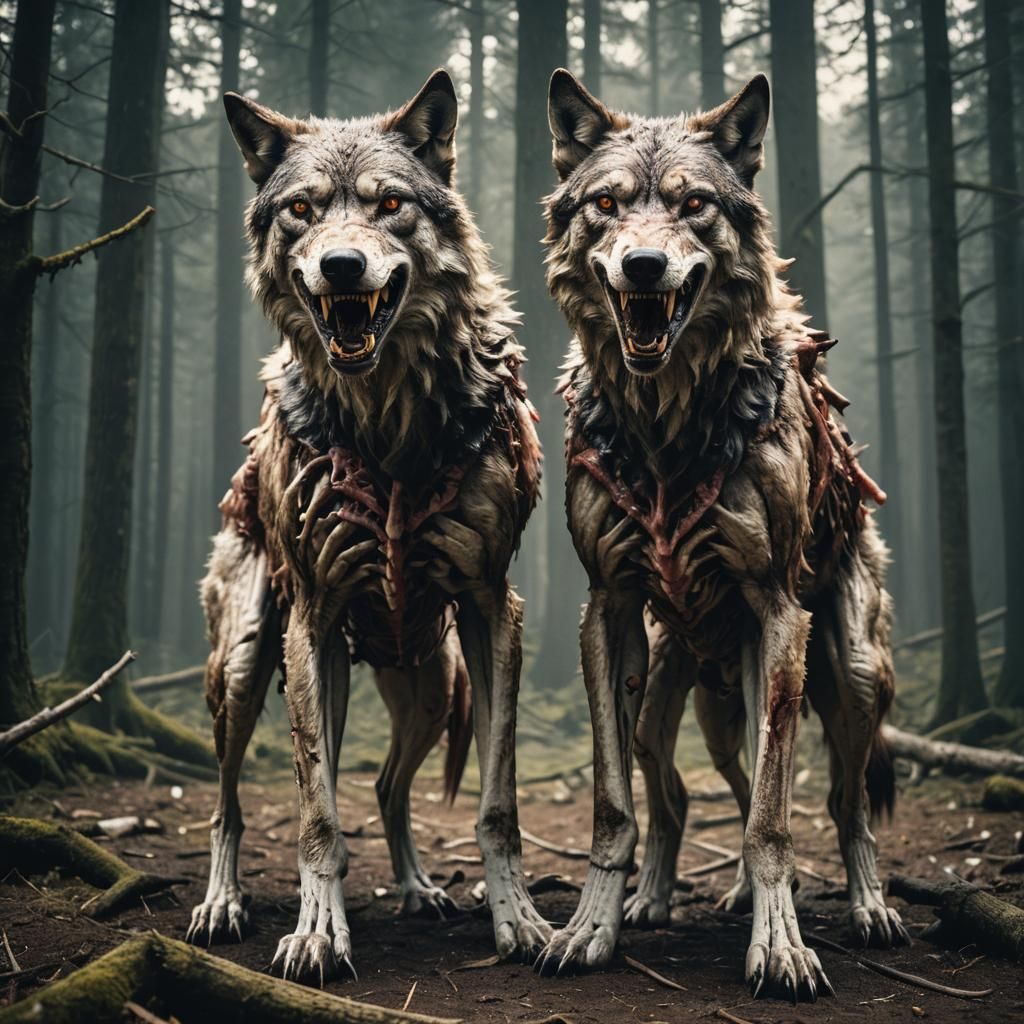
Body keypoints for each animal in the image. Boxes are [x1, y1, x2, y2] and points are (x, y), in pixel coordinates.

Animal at [185, 70, 550, 984]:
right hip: (253, 666)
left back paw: (418, 888)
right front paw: (319, 932)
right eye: (302, 211)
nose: (341, 265)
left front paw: (521, 921)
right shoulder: (312, 618)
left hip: (424, 686)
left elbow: (497, 802)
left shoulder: (492, 609)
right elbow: (316, 814)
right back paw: (221, 903)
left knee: (387, 787)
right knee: (230, 803)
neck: (388, 421)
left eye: (389, 204)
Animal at [533, 70, 908, 1000]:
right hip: (677, 701)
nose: (643, 265)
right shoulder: (608, 610)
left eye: (693, 204)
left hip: (845, 675)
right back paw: (659, 899)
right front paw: (589, 928)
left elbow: (775, 820)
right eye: (607, 204)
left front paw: (781, 947)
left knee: (842, 803)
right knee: (680, 798)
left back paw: (868, 906)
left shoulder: (777, 612)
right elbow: (616, 808)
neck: (667, 427)